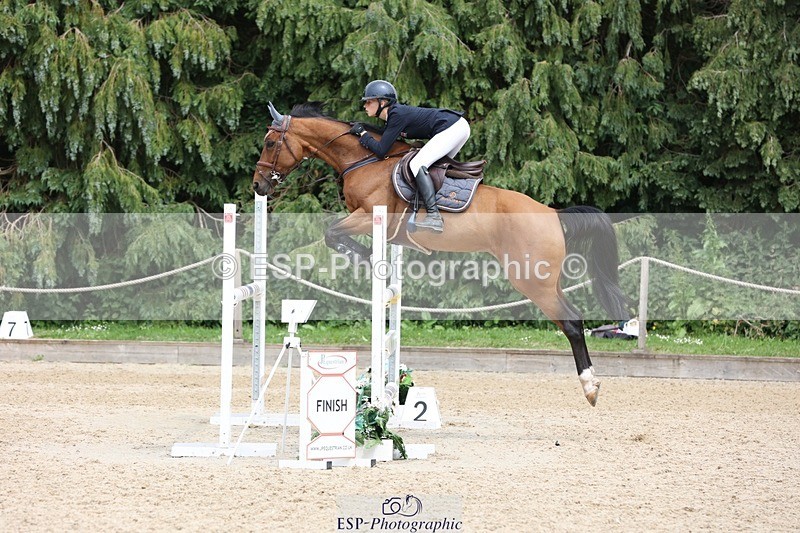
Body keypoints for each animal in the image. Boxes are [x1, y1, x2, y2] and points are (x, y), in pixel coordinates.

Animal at [252, 102, 630, 406]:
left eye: (270, 142)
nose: (258, 185)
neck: (364, 160)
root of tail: (553, 213)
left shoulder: (368, 215)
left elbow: (331, 233)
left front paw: (364, 257)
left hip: (531, 281)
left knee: (572, 322)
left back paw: (590, 387)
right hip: (546, 280)